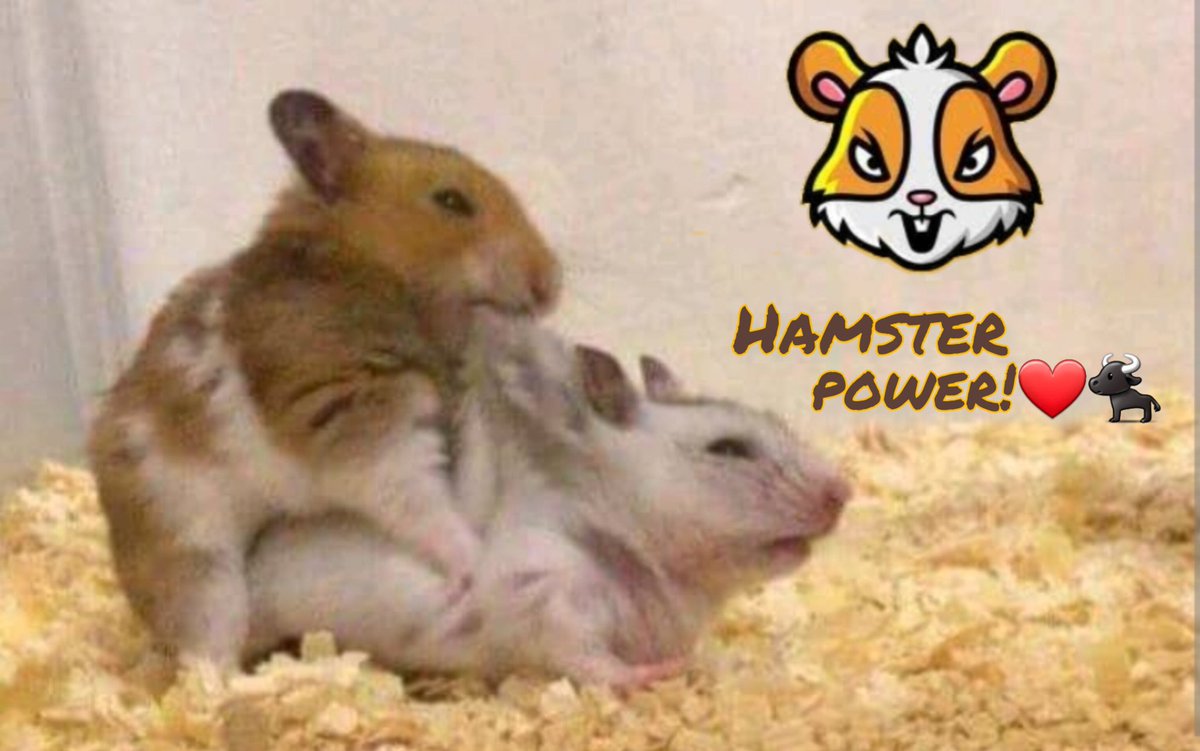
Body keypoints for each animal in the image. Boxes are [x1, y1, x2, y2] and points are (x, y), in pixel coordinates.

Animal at [87, 90, 561, 669]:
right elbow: (427, 509)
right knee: (203, 652)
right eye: (452, 201)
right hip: (197, 562)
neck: (364, 269)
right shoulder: (368, 430)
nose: (550, 285)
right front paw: (474, 562)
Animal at [245, 314, 850, 688]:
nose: (844, 492)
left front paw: (699, 666)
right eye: (728, 449)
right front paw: (656, 676)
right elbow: (589, 659)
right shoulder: (547, 600)